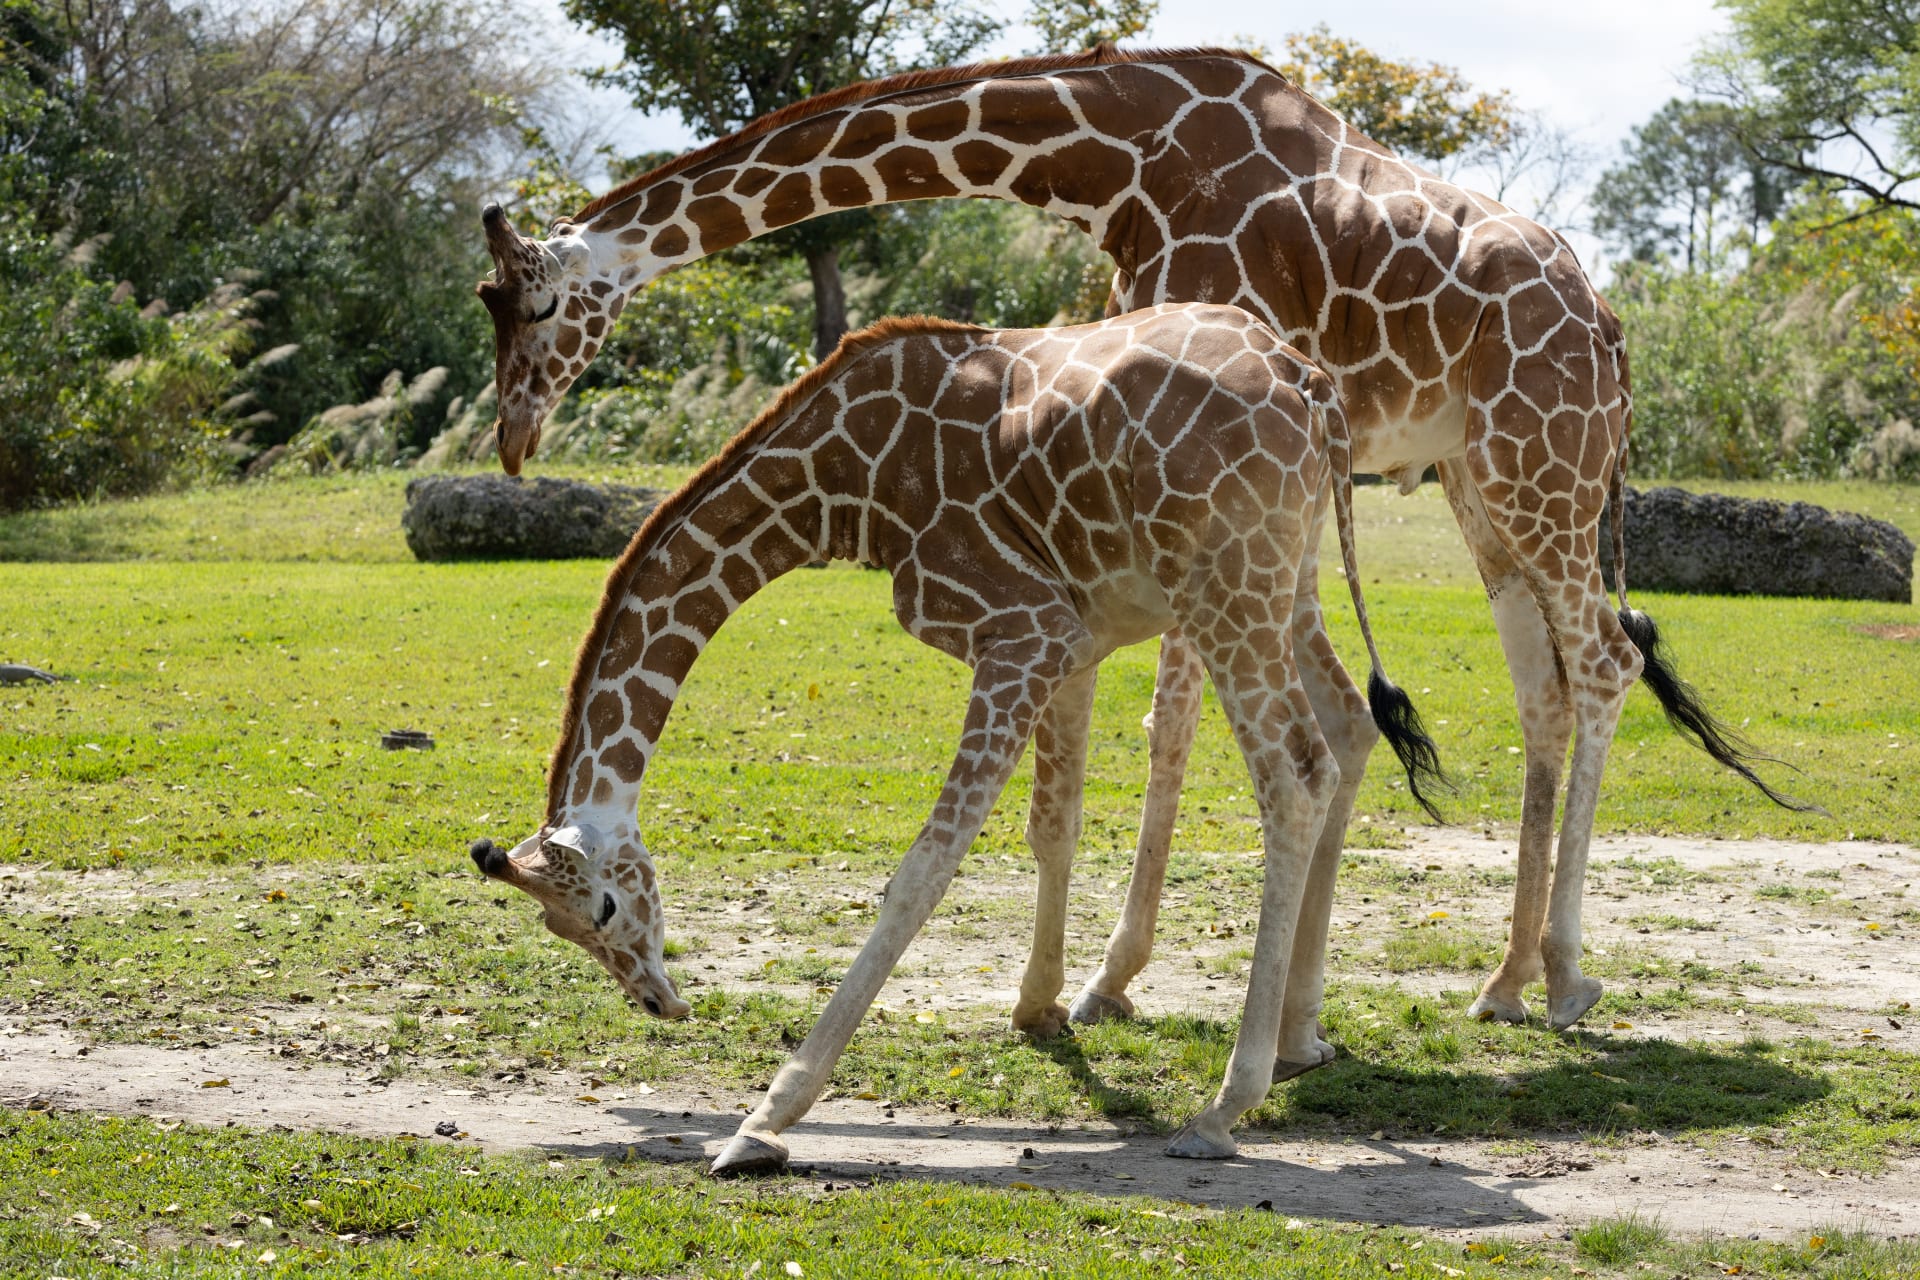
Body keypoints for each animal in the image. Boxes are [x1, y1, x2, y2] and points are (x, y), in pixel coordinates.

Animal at [471, 302, 1438, 1173]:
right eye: (558, 929)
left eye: (602, 908)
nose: (658, 1003)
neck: (847, 484)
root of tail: (1310, 387)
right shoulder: (1077, 637)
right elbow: (1054, 826)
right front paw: (1040, 1009)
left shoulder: (1023, 630)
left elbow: (922, 870)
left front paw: (766, 1121)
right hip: (1286, 574)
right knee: (1348, 726)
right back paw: (1300, 1040)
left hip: (1226, 584)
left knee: (1296, 773)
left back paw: (1222, 1107)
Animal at [476, 46, 1807, 1033]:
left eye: (531, 303)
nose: (513, 437)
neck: (1109, 155)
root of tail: (1613, 325)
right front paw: (1104, 980)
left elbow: (1172, 720)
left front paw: (1107, 981)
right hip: (1488, 491)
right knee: (1549, 686)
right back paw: (1506, 980)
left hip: (1544, 475)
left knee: (1610, 660)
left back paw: (1572, 975)